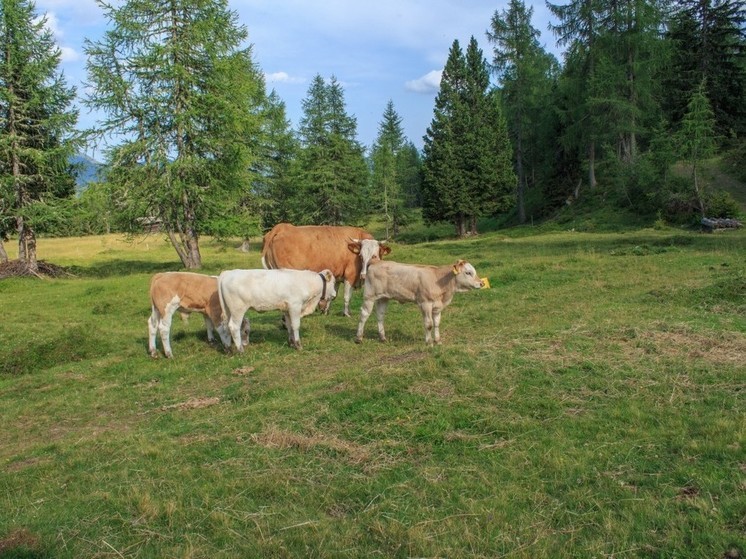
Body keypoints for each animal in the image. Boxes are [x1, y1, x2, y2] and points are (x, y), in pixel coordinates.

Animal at [260, 224, 390, 320]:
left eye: (374, 256)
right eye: (361, 256)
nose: (363, 275)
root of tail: (281, 227)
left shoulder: (337, 276)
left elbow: (333, 295)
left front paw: (325, 310)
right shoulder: (350, 275)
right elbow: (347, 296)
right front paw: (346, 314)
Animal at [356, 262, 486, 346]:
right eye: (468, 272)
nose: (481, 283)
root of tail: (375, 263)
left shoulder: (437, 307)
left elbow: (437, 323)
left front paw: (438, 341)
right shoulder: (425, 303)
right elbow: (429, 324)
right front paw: (429, 342)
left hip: (383, 297)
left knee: (380, 315)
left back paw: (382, 337)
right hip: (369, 296)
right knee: (364, 315)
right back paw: (359, 338)